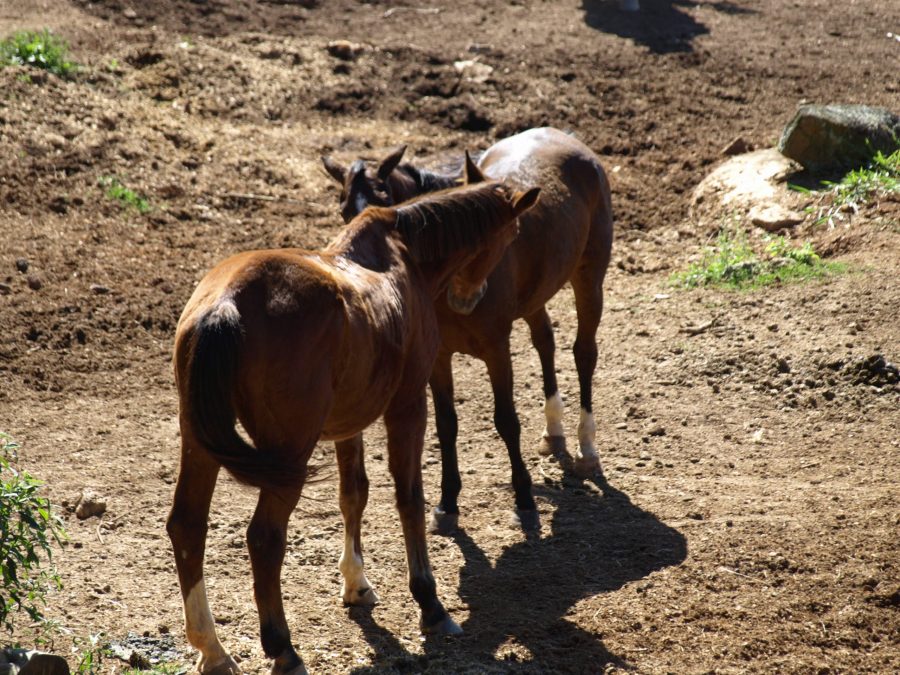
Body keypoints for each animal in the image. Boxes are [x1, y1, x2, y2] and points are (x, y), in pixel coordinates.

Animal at [166, 180, 540, 675]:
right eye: (512, 234)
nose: (468, 298)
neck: (403, 255)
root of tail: (225, 304)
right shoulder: (408, 405)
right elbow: (409, 499)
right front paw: (430, 603)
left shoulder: (348, 423)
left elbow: (354, 495)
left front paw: (356, 583)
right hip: (288, 451)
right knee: (264, 539)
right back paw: (283, 648)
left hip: (200, 442)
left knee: (187, 527)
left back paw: (212, 648)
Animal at [322, 127, 613, 535]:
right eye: (344, 209)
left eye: (383, 200)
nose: (466, 298)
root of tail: (564, 138)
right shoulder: (439, 357)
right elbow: (447, 425)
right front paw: (447, 504)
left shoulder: (496, 348)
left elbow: (506, 420)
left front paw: (524, 499)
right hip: (535, 298)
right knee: (545, 341)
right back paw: (554, 430)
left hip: (590, 278)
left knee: (584, 352)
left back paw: (587, 448)